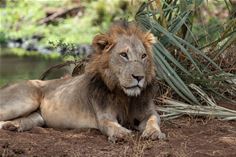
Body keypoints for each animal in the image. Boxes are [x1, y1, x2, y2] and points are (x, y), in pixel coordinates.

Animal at [0, 20, 166, 142]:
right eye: (124, 55)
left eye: (143, 56)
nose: (139, 77)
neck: (125, 96)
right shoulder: (104, 116)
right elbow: (110, 125)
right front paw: (122, 133)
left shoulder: (149, 111)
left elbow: (154, 119)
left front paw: (154, 133)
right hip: (25, 100)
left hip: (37, 117)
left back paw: (12, 126)